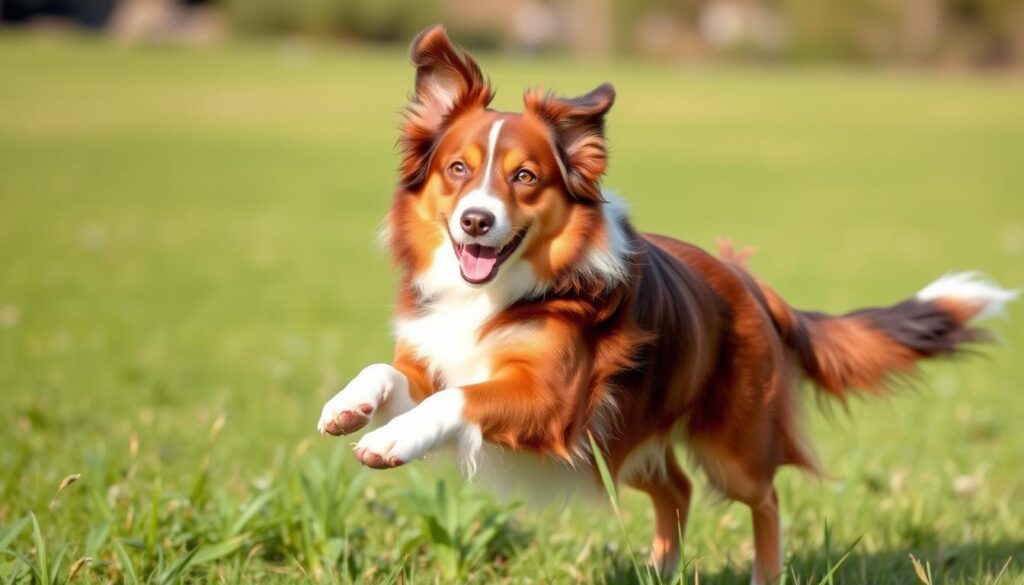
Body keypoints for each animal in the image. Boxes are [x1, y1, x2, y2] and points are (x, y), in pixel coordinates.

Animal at [315, 25, 1019, 581]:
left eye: (526, 177)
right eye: (457, 170)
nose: (476, 222)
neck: (498, 293)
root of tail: (749, 284)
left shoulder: (553, 399)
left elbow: (456, 400)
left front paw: (393, 438)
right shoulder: (438, 358)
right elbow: (394, 374)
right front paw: (349, 407)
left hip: (729, 447)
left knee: (764, 498)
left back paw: (764, 575)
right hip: (620, 435)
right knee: (675, 486)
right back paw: (661, 571)